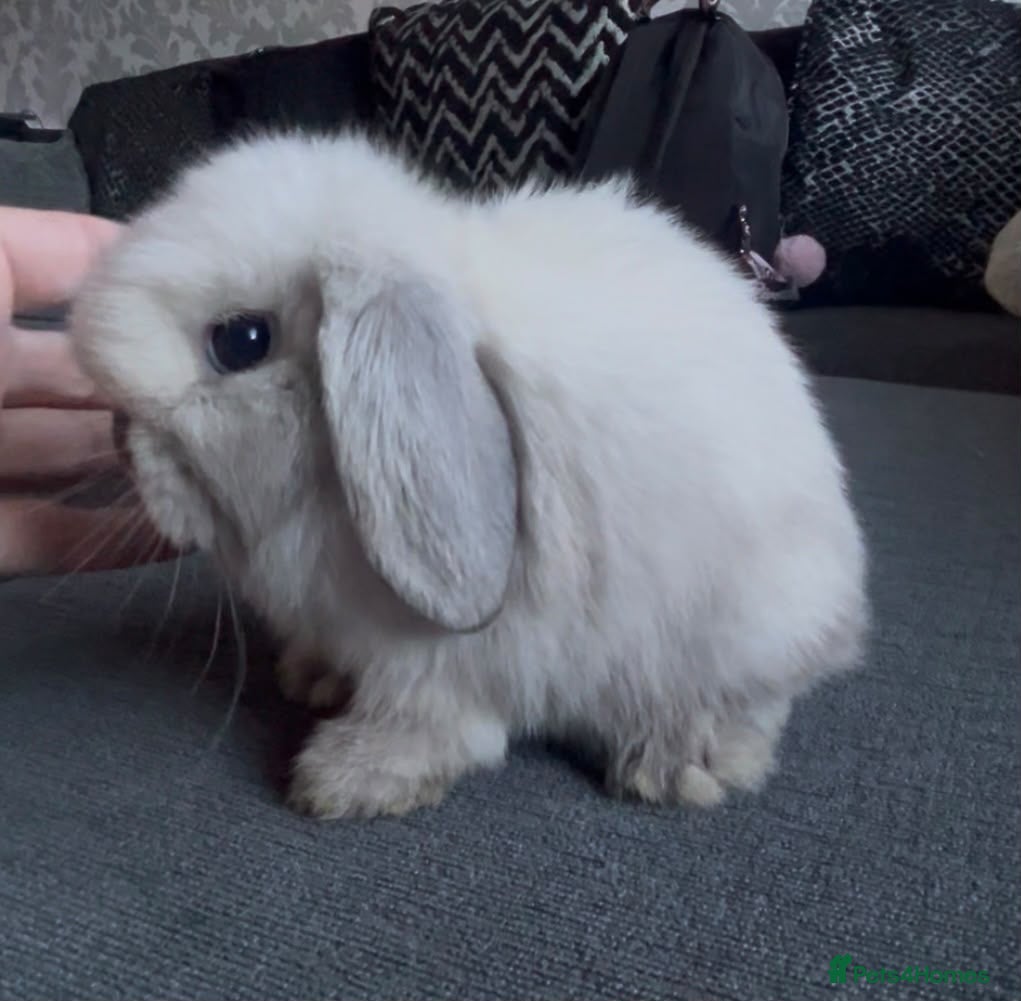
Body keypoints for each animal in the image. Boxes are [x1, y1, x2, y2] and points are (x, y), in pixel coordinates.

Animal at [70, 131, 869, 820]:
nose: (119, 440)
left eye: (241, 340)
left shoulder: (435, 663)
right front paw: (311, 678)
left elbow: (437, 724)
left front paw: (347, 776)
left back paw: (680, 763)